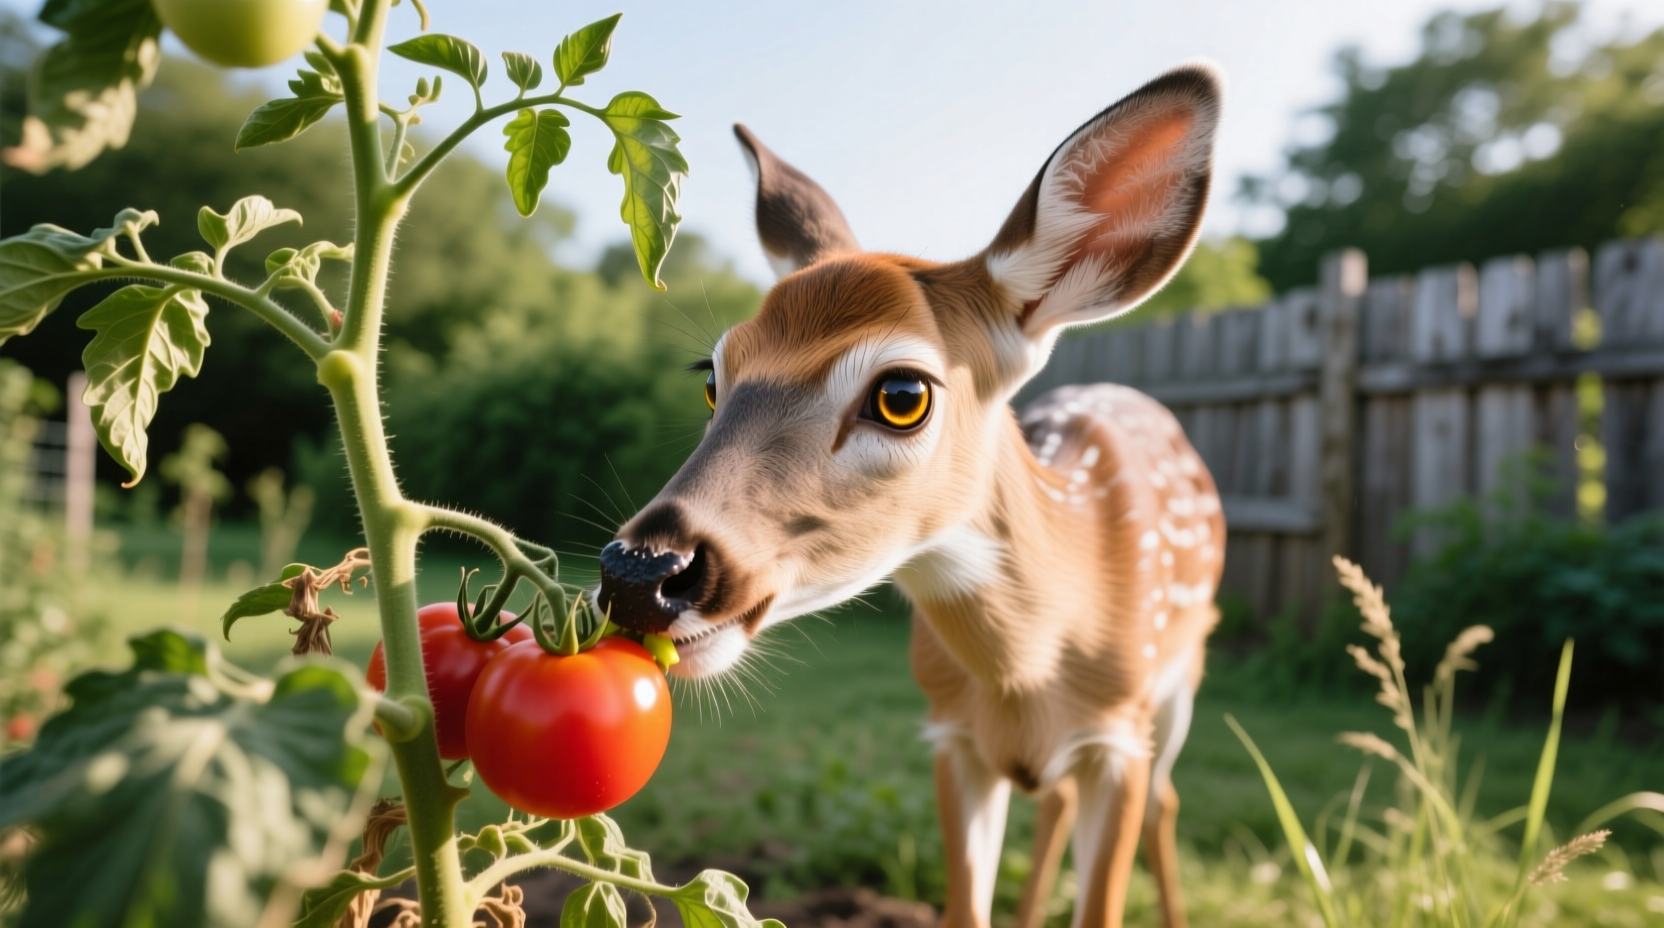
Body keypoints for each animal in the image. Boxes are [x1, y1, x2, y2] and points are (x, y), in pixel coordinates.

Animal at [596, 62, 1227, 928]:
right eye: (712, 378)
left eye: (902, 394)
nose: (639, 573)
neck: (1026, 672)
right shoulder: (950, 735)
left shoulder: (1121, 738)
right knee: (1057, 801)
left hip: (1184, 673)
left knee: (1164, 800)